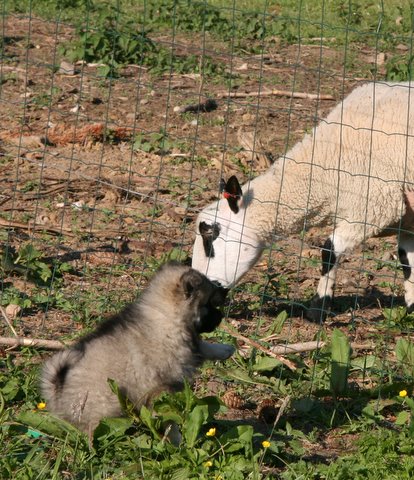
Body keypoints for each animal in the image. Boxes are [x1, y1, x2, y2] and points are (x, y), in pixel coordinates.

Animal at [40, 264, 234, 434]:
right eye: (209, 304)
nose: (221, 317)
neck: (165, 315)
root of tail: (58, 391)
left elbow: (202, 346)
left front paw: (226, 349)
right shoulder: (161, 388)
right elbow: (169, 420)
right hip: (107, 405)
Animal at [192, 81, 414, 322]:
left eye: (210, 236)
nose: (199, 295)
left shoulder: (375, 205)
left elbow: (329, 251)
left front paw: (318, 308)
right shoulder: (405, 220)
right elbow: (407, 262)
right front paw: (412, 308)